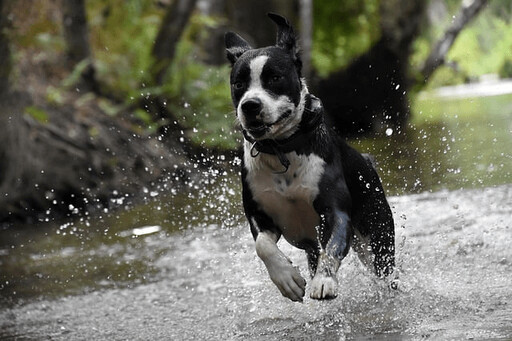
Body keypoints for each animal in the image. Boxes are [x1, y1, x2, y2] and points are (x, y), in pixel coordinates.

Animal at [224, 13, 396, 300]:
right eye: (238, 84)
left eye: (274, 78)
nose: (250, 105)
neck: (282, 150)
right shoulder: (260, 216)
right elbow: (263, 246)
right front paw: (286, 278)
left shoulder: (336, 211)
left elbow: (333, 247)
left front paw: (324, 280)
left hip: (378, 235)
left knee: (384, 270)